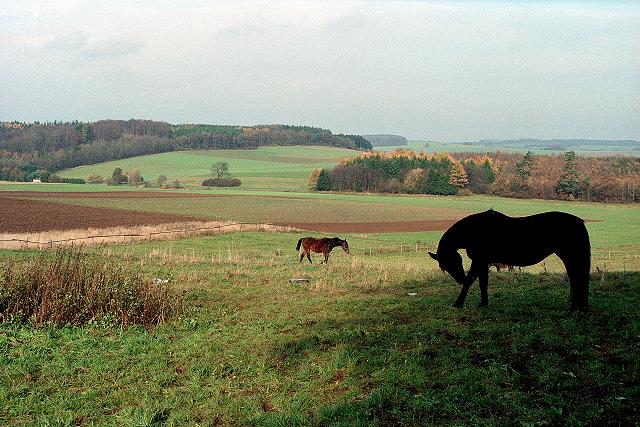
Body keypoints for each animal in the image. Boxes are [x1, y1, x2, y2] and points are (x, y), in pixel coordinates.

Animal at [430, 210, 592, 312]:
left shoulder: (479, 261)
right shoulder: (484, 262)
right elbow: (483, 283)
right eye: (444, 266)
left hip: (570, 256)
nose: (459, 279)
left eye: (451, 262)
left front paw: (458, 303)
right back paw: (576, 307)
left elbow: (471, 281)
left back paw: (578, 307)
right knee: (576, 278)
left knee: (577, 277)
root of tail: (579, 221)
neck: (475, 231)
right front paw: (483, 304)